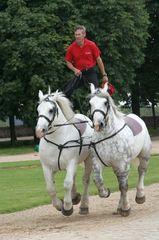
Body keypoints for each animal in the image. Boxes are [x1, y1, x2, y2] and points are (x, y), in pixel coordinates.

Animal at [89, 83, 152, 217]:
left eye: (105, 103)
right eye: (90, 103)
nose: (98, 124)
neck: (107, 136)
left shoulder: (122, 164)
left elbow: (123, 187)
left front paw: (126, 208)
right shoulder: (97, 161)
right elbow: (98, 179)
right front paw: (105, 192)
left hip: (143, 156)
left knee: (141, 171)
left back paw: (140, 196)